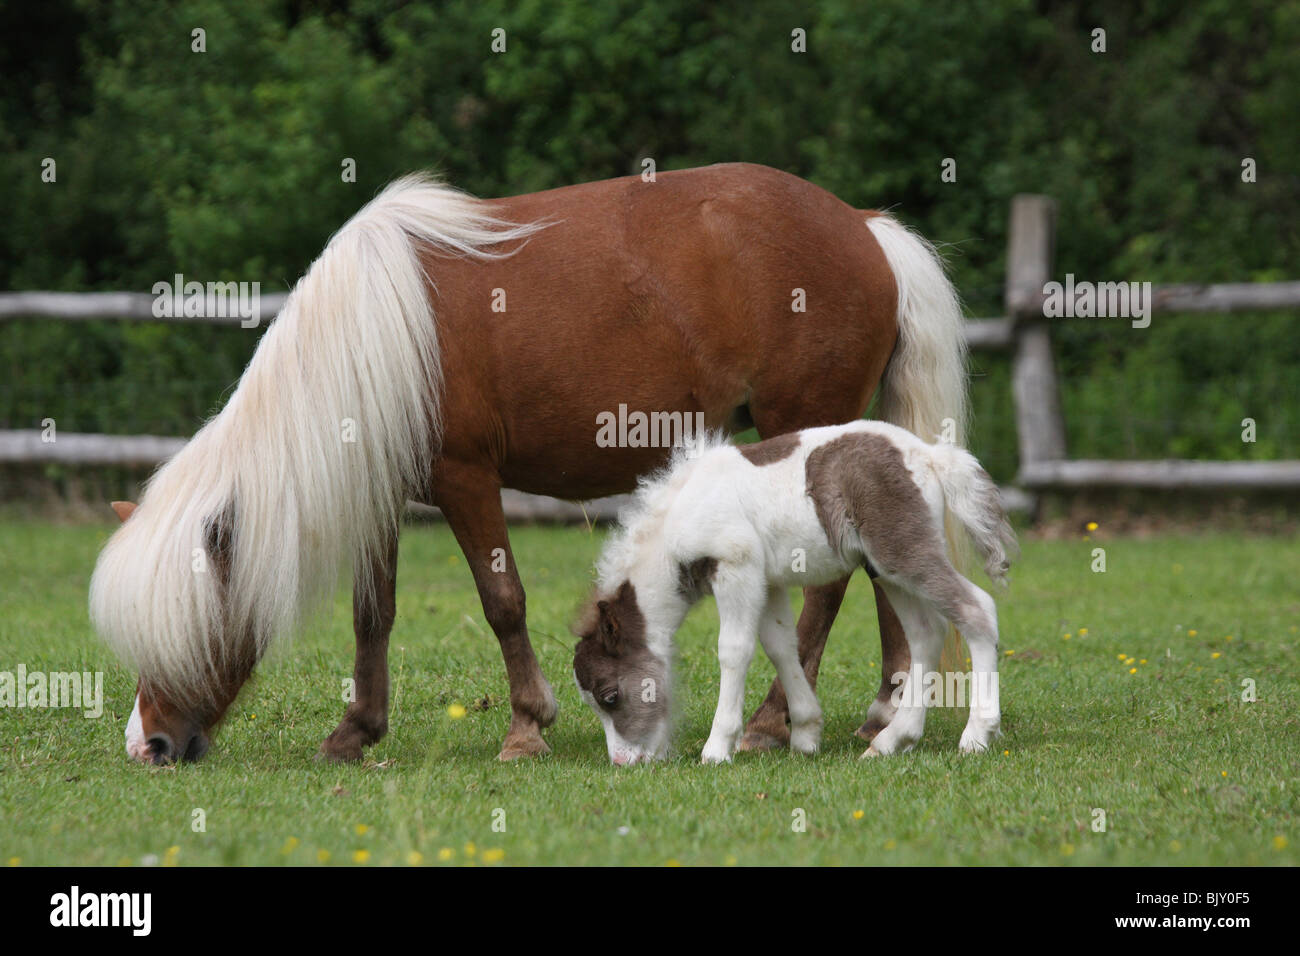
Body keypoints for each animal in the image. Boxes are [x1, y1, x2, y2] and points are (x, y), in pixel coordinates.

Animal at [89, 162, 969, 764]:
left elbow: (502, 600)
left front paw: (526, 726)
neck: (377, 334)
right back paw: (884, 712)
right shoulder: (386, 495)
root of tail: (863, 226)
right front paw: (357, 730)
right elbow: (374, 614)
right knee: (882, 576)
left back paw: (769, 723)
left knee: (828, 588)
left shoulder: (466, 480)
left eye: (184, 624)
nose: (148, 746)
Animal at [572, 420, 1017, 764]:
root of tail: (931, 455)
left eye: (609, 696)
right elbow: (781, 645)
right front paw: (805, 732)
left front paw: (717, 747)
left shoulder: (735, 568)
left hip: (903, 552)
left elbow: (734, 650)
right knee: (927, 633)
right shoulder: (767, 582)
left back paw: (977, 734)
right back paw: (892, 740)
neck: (678, 522)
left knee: (978, 609)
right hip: (886, 570)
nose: (623, 761)